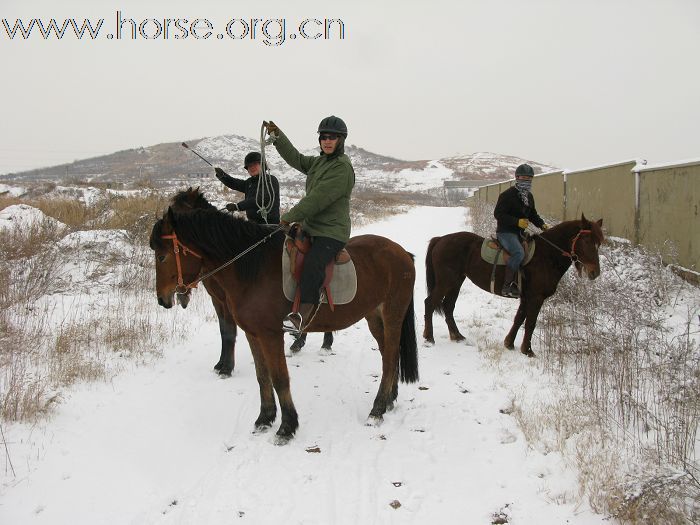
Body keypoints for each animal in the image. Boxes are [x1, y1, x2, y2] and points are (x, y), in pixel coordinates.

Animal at [150, 188, 418, 442]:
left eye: (162, 256)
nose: (162, 299)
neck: (254, 269)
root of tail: (403, 253)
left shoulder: (271, 334)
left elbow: (280, 378)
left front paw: (287, 427)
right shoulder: (253, 333)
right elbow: (262, 376)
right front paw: (265, 418)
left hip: (393, 315)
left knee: (390, 358)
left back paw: (377, 409)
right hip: (374, 316)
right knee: (389, 355)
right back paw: (390, 398)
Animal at [424, 214, 604, 356]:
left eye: (599, 243)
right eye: (586, 241)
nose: (595, 273)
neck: (546, 255)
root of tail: (440, 239)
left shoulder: (526, 297)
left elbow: (519, 319)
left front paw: (509, 343)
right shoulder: (536, 298)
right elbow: (530, 323)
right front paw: (527, 350)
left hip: (456, 282)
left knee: (448, 306)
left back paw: (457, 336)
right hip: (446, 281)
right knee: (430, 303)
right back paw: (429, 338)